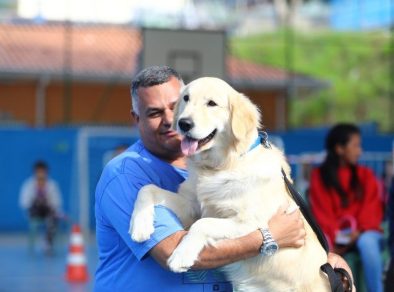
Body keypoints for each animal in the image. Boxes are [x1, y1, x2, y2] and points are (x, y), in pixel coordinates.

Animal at [129, 76, 330, 290]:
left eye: (211, 103)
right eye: (185, 98)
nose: (184, 123)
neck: (221, 166)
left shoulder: (249, 221)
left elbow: (203, 223)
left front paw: (181, 256)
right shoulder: (191, 205)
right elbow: (147, 188)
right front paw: (139, 225)